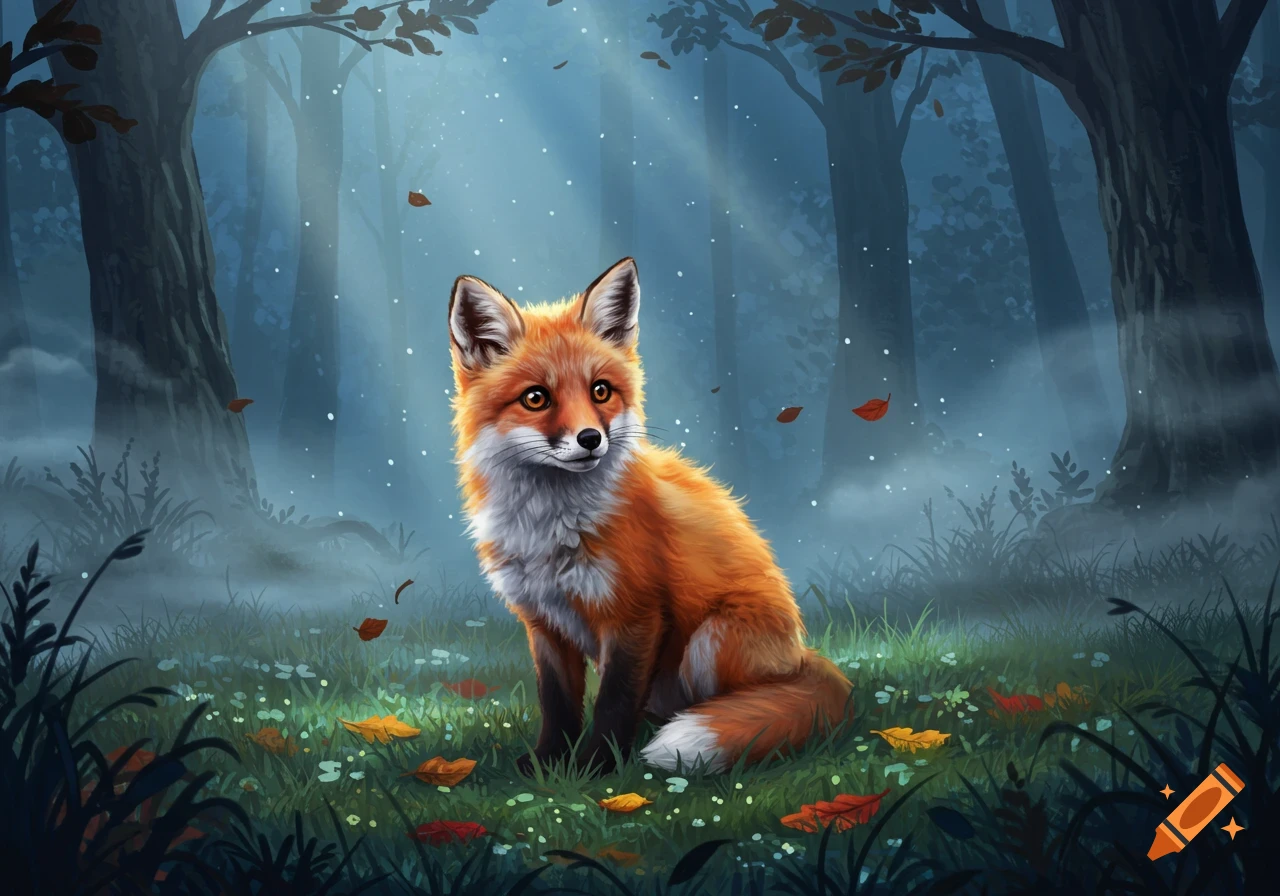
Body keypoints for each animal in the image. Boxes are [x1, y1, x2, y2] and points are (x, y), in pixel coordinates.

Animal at [448, 256, 854, 776]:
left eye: (601, 391)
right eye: (536, 398)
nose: (590, 439)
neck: (550, 529)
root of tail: (803, 654)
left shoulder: (636, 615)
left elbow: (614, 702)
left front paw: (596, 768)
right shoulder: (543, 623)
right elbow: (557, 704)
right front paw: (547, 764)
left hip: (711, 641)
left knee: (746, 703)